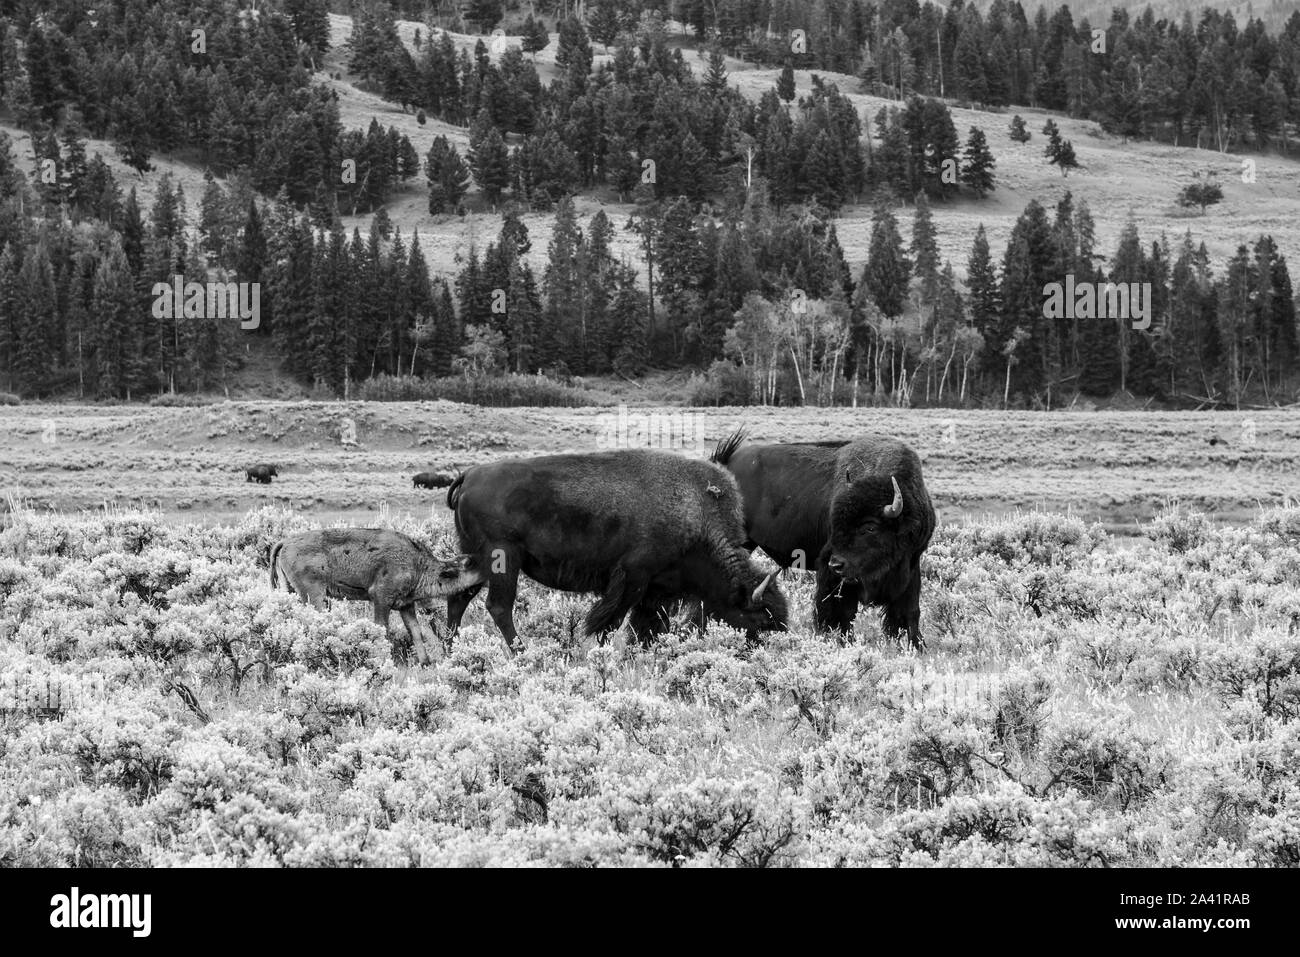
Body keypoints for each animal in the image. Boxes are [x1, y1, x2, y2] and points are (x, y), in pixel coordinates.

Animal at [447, 447, 785, 655]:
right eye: (761, 621)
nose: (768, 652)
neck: (696, 514)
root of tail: (470, 474)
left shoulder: (656, 590)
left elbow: (646, 626)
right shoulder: (633, 578)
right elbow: (611, 621)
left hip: (477, 559)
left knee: (458, 597)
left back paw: (449, 650)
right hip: (504, 558)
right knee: (499, 606)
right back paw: (522, 654)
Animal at [712, 431, 935, 650]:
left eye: (870, 527)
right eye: (835, 522)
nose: (836, 564)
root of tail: (725, 463)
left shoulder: (911, 565)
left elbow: (911, 611)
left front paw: (918, 646)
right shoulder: (833, 574)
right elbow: (840, 612)